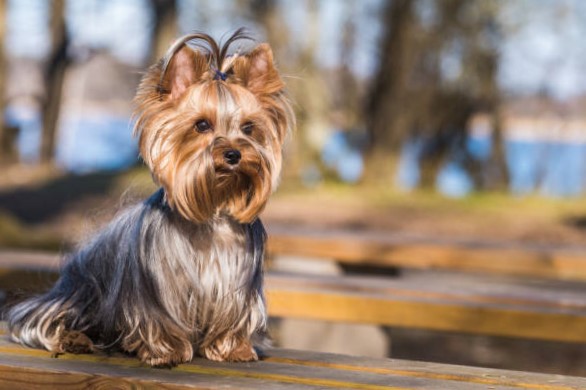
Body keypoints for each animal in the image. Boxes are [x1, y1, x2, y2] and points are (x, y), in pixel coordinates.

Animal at [5, 29, 292, 368]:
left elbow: (234, 316)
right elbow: (159, 319)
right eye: (202, 125)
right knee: (45, 322)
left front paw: (233, 349)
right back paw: (73, 339)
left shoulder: (237, 283)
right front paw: (165, 351)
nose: (234, 154)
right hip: (75, 295)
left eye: (249, 127)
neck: (213, 211)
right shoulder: (157, 288)